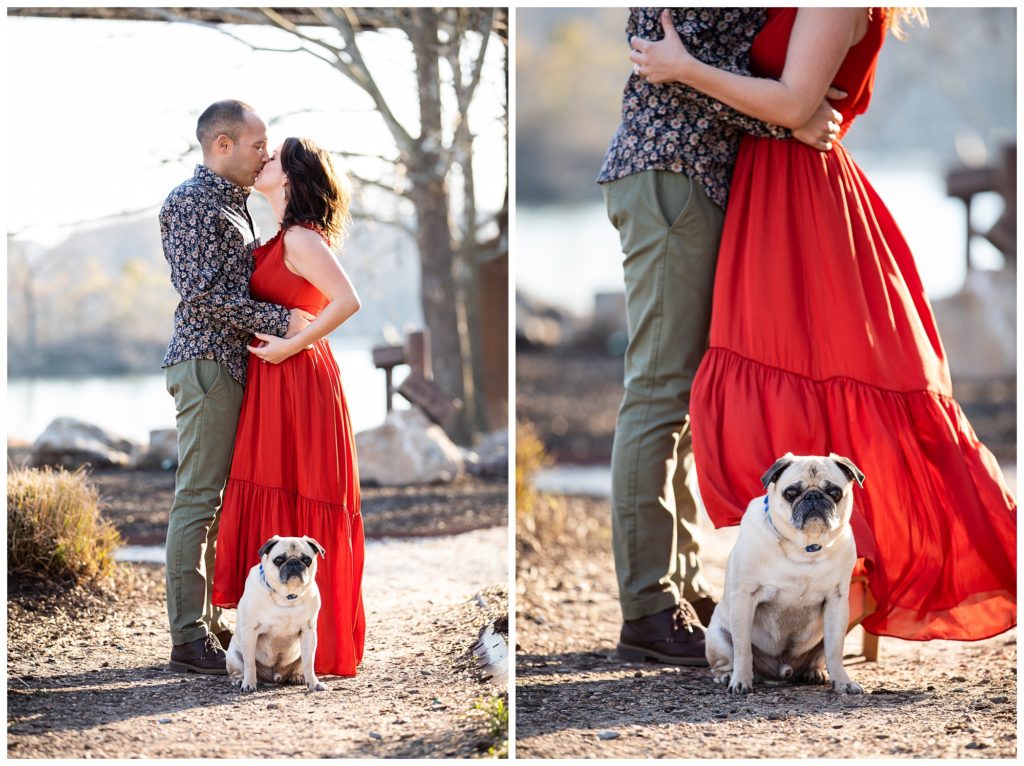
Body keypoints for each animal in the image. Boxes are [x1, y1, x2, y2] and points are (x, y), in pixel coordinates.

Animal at [226, 532, 325, 692]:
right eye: (279, 560)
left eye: (307, 560)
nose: (293, 563)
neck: (287, 596)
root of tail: (275, 677)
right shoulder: (250, 631)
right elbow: (250, 663)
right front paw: (249, 684)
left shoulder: (308, 632)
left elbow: (309, 663)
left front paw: (313, 683)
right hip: (233, 655)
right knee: (240, 669)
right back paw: (240, 680)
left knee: (301, 664)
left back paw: (297, 676)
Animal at [708, 452, 868, 696]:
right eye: (791, 493)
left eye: (835, 492)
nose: (813, 496)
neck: (805, 548)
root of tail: (781, 672)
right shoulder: (744, 597)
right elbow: (743, 649)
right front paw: (741, 681)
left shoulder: (836, 601)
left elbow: (835, 650)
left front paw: (842, 682)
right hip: (717, 637)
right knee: (726, 660)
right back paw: (727, 675)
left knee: (821, 656)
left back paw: (813, 672)